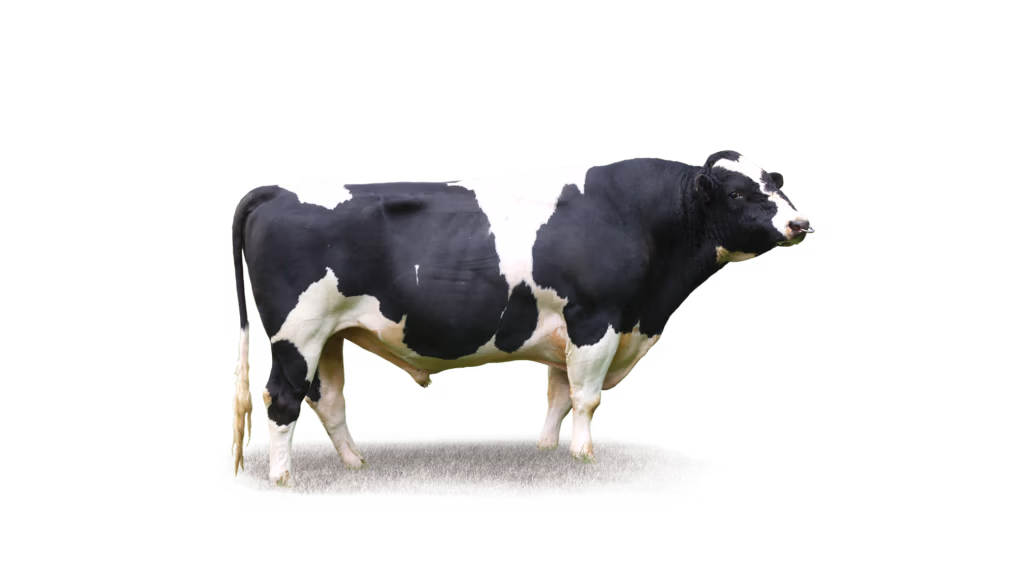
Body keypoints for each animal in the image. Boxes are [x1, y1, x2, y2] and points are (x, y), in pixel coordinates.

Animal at [229, 149, 817, 488]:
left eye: (777, 184)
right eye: (739, 193)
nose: (802, 224)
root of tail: (278, 190)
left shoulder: (568, 329)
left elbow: (558, 393)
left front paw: (549, 451)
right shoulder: (596, 319)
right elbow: (587, 397)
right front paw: (585, 459)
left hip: (330, 336)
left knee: (328, 400)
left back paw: (356, 467)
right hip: (299, 333)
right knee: (282, 399)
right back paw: (283, 482)